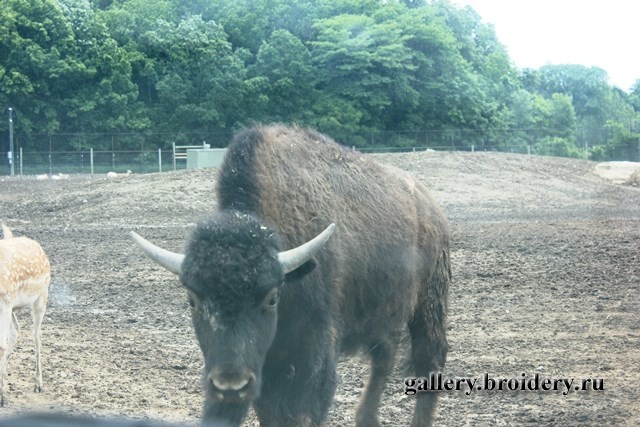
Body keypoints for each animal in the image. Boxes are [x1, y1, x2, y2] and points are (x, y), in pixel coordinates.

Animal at [131, 125, 450, 427]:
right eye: (193, 300)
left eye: (271, 298)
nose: (230, 385)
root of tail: (430, 206)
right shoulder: (263, 364)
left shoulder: (313, 348)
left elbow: (299, 412)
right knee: (385, 354)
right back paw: (366, 418)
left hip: (429, 305)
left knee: (429, 362)